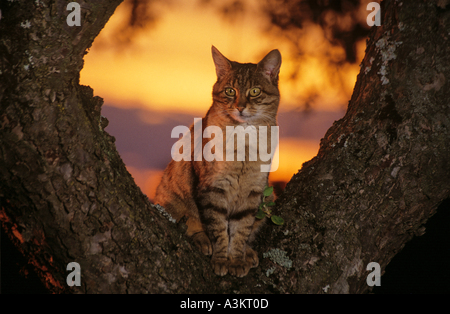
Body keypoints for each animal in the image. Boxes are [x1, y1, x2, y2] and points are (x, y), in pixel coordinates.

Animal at [155, 46, 282, 278]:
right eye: (230, 91)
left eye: (255, 91)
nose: (240, 107)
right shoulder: (213, 188)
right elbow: (218, 228)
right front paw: (222, 259)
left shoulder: (253, 191)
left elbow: (242, 229)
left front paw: (237, 258)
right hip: (172, 199)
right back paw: (202, 240)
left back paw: (249, 252)